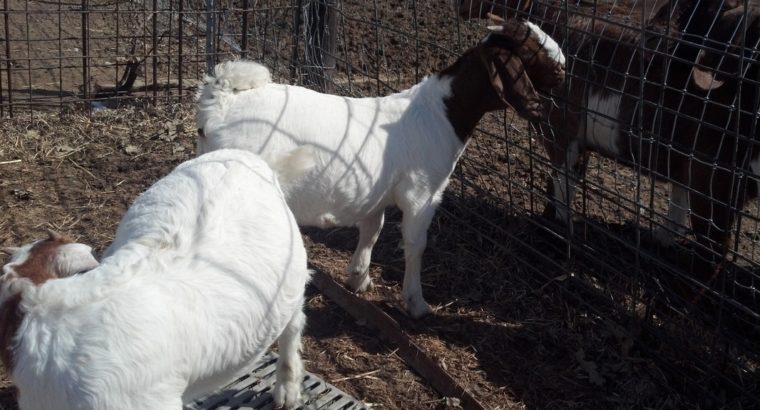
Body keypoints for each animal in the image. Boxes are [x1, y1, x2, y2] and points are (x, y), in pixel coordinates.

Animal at [196, 18, 566, 318]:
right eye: (531, 47)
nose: (563, 66)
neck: (441, 113)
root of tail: (223, 101)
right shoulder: (422, 196)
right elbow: (416, 245)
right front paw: (417, 304)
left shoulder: (375, 193)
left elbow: (372, 230)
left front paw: (359, 278)